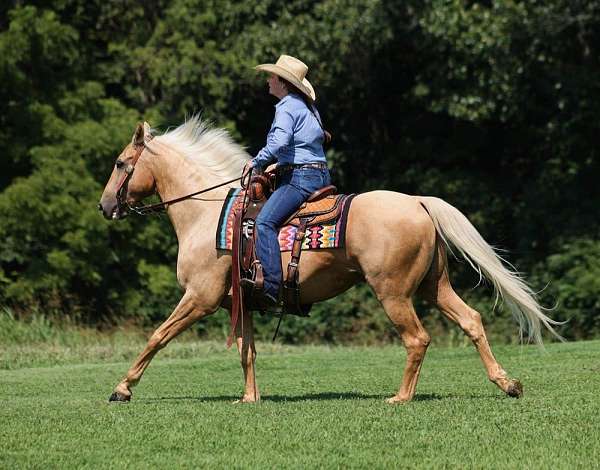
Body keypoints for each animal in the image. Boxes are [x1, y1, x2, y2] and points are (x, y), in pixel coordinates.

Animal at [96, 117, 560, 404]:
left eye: (120, 163)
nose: (104, 206)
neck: (207, 215)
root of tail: (417, 202)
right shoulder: (237, 303)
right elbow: (247, 352)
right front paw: (249, 398)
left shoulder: (200, 298)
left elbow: (157, 337)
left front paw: (122, 388)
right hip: (435, 285)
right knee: (471, 321)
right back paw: (507, 383)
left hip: (393, 292)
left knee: (417, 339)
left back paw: (401, 396)